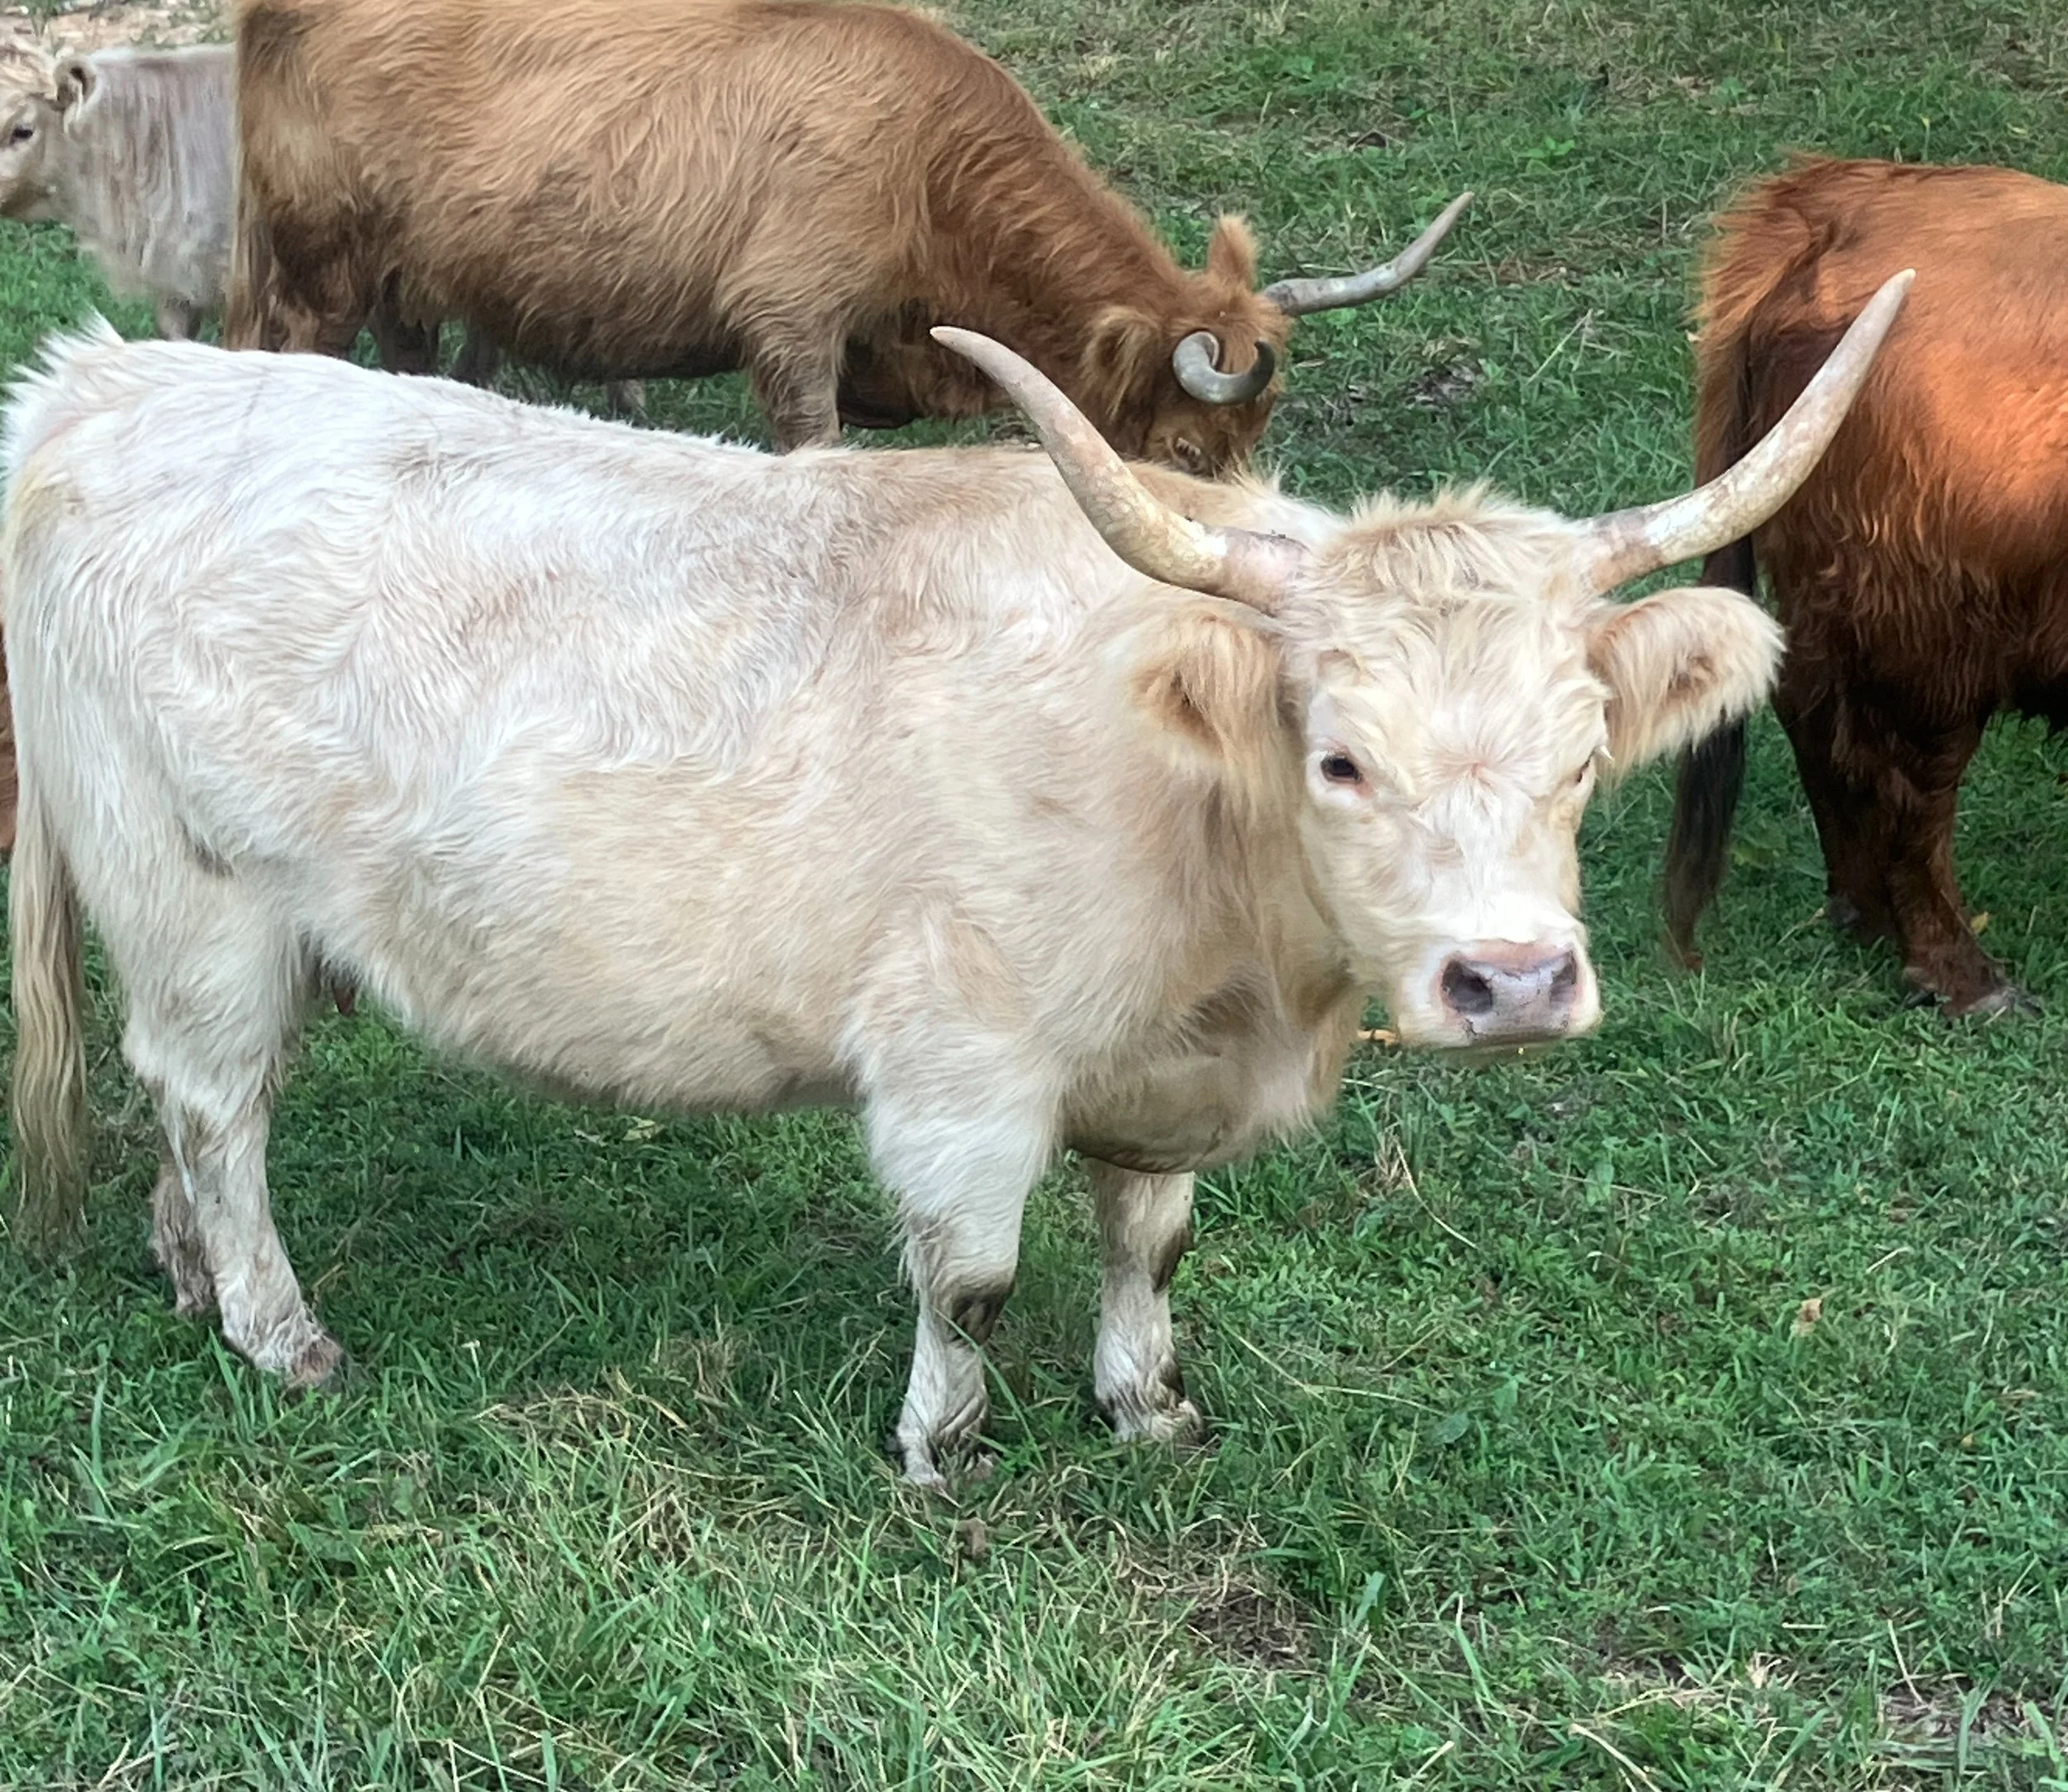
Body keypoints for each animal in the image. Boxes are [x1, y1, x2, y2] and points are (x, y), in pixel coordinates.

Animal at [6, 276, 1907, 1486]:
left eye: (1583, 755)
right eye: (1341, 758)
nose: (1509, 983)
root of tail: (105, 382)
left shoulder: (1152, 1079)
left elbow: (1151, 1240)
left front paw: (1146, 1407)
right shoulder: (960, 1065)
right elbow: (968, 1273)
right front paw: (942, 1443)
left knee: (204, 1117)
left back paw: (196, 1282)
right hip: (191, 903)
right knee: (214, 1109)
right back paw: (281, 1333)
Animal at [1664, 158, 2068, 1014]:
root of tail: (1834, 205)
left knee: (1814, 714)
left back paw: (1863, 913)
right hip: (1928, 627)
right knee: (1909, 783)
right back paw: (1961, 974)